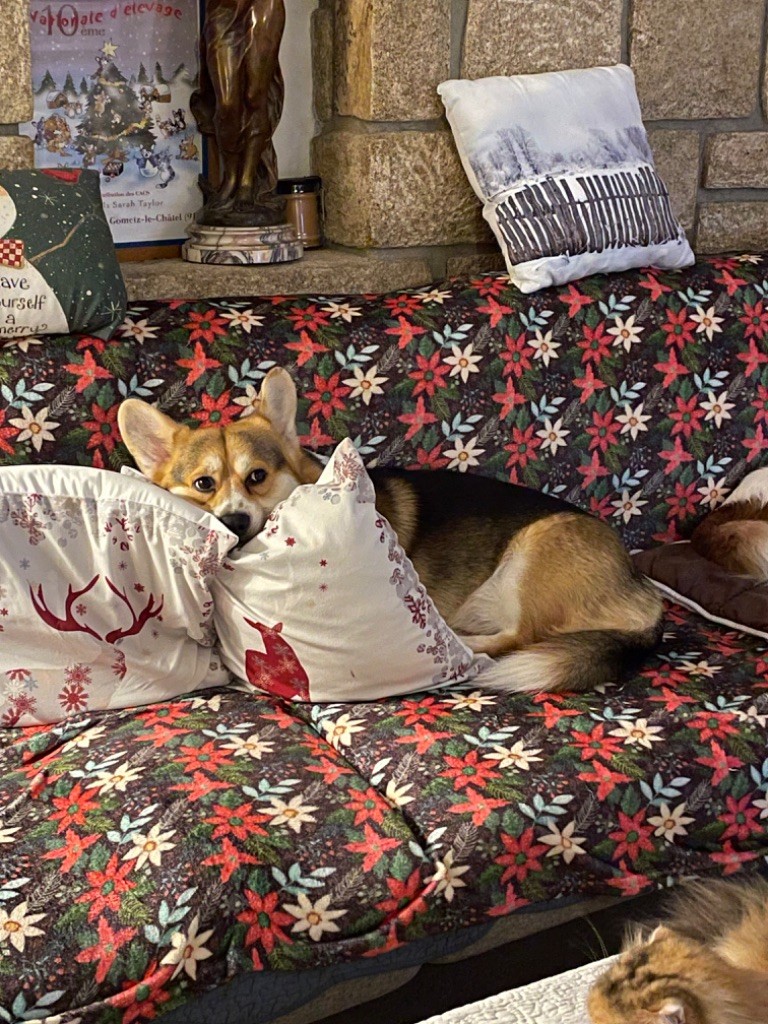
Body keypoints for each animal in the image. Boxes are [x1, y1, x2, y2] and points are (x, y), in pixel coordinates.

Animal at [118, 367, 663, 695]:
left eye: (257, 477)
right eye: (203, 484)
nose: (234, 521)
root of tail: (643, 593)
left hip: (532, 554)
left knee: (520, 638)